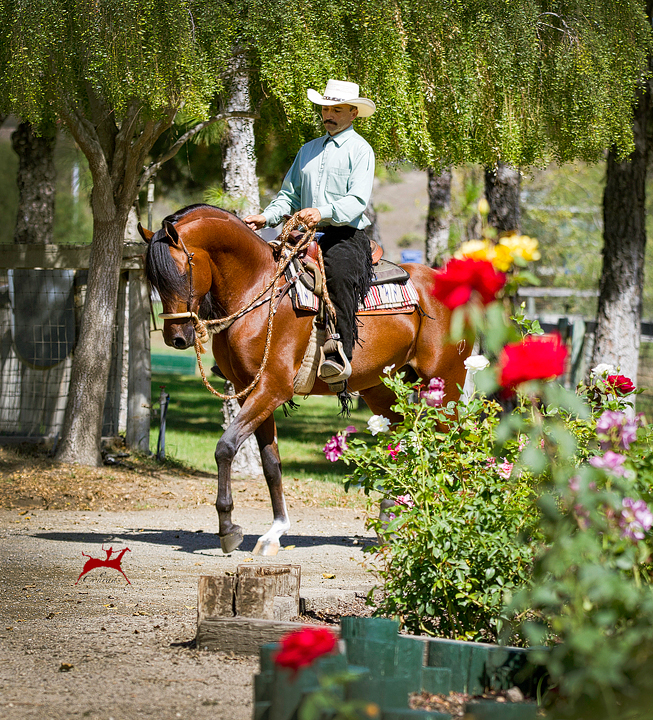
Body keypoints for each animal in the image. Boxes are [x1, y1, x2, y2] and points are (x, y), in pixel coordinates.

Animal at [141, 205, 468, 556]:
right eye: (153, 279)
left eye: (180, 271)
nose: (176, 338)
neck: (258, 290)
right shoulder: (248, 392)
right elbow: (271, 462)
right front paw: (274, 532)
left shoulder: (272, 388)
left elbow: (225, 447)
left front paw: (228, 528)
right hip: (381, 389)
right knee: (403, 442)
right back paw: (389, 523)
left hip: (445, 384)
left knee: (456, 444)